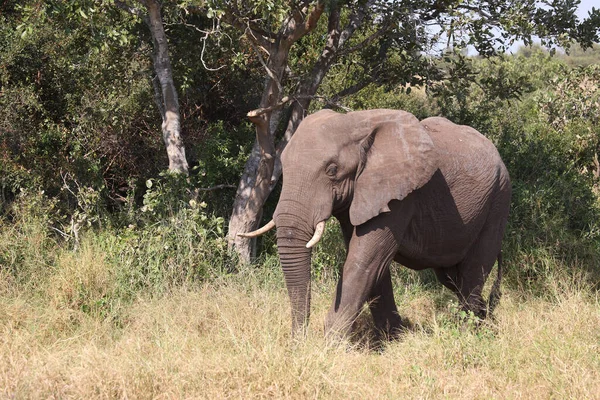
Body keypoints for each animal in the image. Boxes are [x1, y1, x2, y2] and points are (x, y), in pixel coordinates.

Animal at [239, 108, 510, 336]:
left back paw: (469, 332)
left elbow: (364, 260)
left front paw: (331, 344)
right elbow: (373, 264)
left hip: (498, 200)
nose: (299, 341)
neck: (356, 123)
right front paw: (394, 338)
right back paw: (485, 320)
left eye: (332, 170)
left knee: (473, 271)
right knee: (452, 277)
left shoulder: (400, 196)